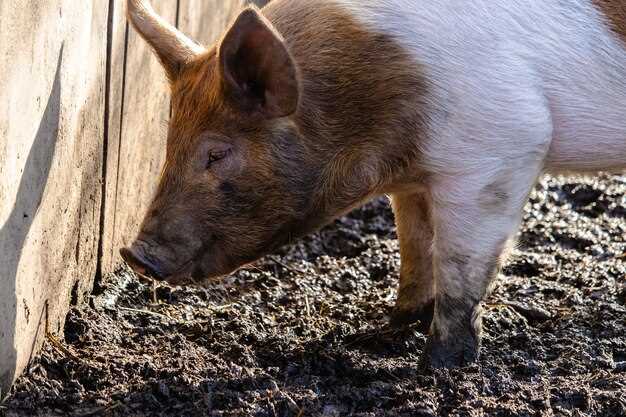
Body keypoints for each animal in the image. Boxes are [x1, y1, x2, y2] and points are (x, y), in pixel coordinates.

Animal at [118, 0, 624, 366]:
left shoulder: (501, 150)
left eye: (217, 153)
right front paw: (384, 332)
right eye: (169, 141)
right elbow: (416, 247)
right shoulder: (415, 181)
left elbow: (459, 263)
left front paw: (437, 368)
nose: (134, 255)